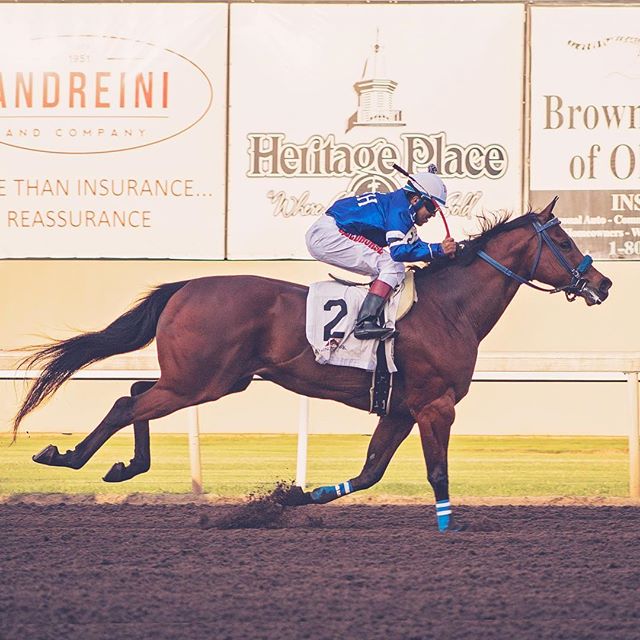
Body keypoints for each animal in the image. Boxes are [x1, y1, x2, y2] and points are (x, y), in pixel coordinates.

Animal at [13, 200, 608, 528]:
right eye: (560, 239)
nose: (600, 283)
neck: (449, 308)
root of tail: (187, 285)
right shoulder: (435, 404)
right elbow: (436, 470)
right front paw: (447, 528)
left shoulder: (401, 408)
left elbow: (370, 472)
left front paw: (298, 495)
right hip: (200, 381)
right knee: (123, 401)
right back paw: (67, 457)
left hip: (205, 378)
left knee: (137, 392)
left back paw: (126, 466)